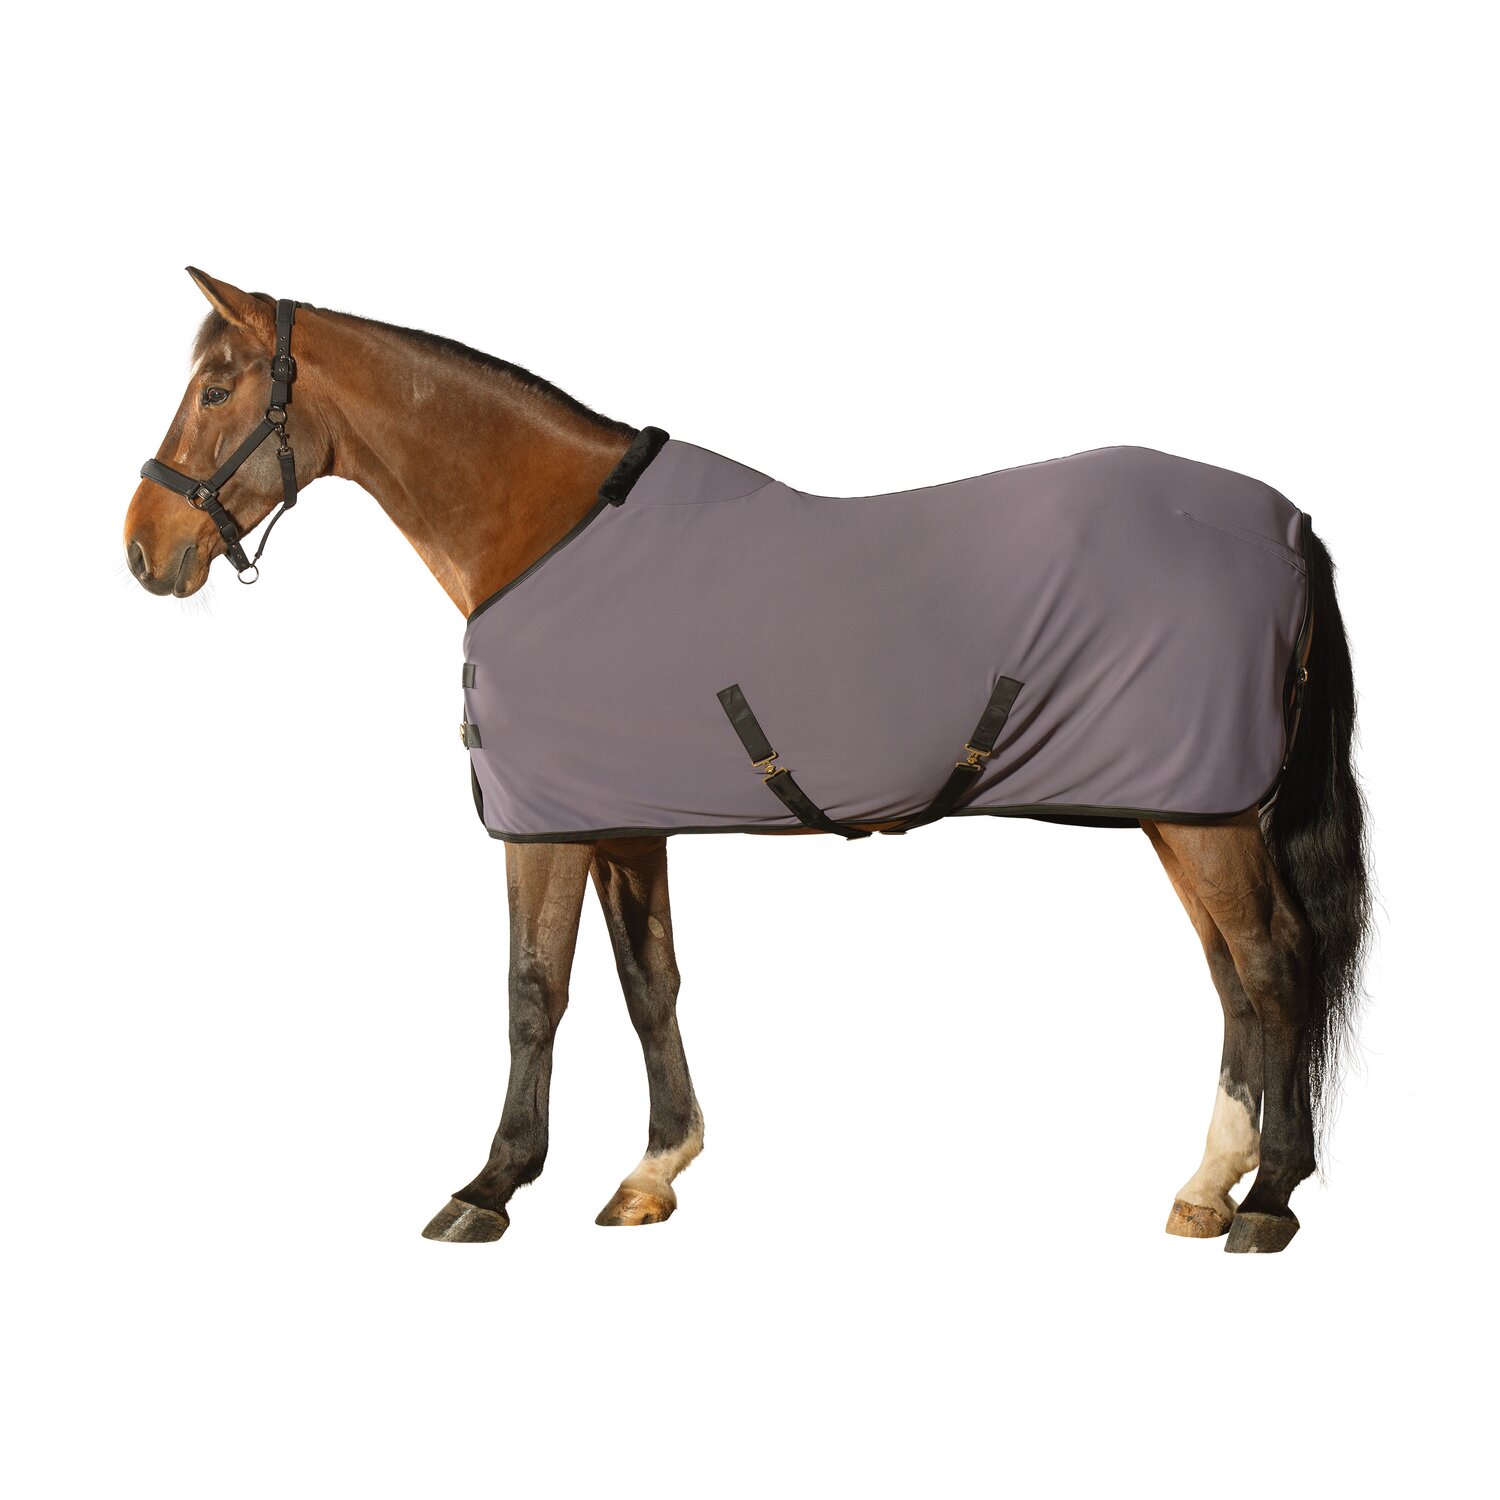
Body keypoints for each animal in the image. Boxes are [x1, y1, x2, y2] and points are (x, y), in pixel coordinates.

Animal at [124, 268, 1370, 1253]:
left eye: (218, 388)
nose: (143, 549)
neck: (546, 535)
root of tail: (1290, 524)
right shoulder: (623, 818)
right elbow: (648, 983)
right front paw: (651, 1173)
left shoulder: (544, 823)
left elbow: (534, 990)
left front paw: (491, 1186)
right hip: (1181, 808)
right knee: (1232, 977)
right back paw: (1209, 1187)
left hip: (1208, 814)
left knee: (1275, 965)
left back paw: (1270, 1200)